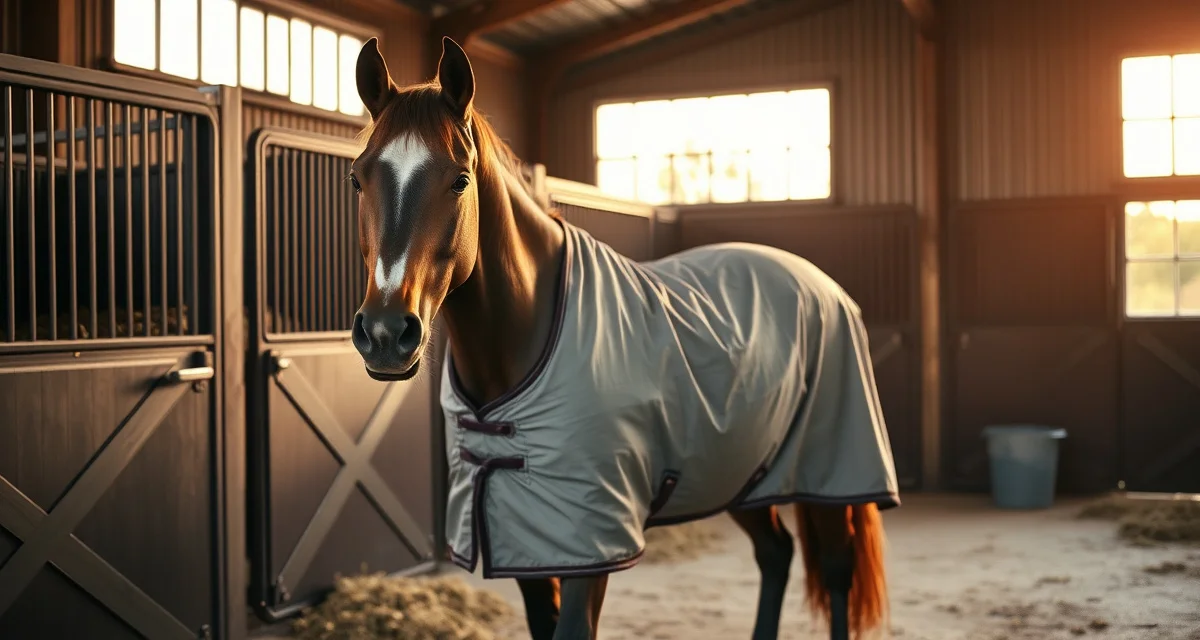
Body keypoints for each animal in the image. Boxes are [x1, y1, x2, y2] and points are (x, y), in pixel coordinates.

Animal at [347, 35, 900, 640]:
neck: (527, 337)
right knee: (776, 553)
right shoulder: (524, 533)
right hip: (741, 470)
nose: (385, 334)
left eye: (459, 180)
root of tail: (822, 284)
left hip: (832, 468)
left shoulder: (591, 542)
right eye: (358, 177)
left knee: (837, 567)